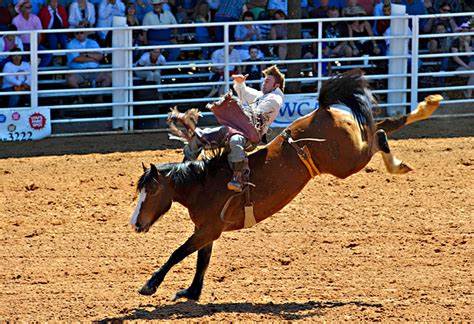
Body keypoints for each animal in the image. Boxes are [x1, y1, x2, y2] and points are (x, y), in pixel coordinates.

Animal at [128, 71, 442, 302]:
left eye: (152, 191)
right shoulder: (208, 230)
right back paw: (427, 108)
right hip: (352, 147)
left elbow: (179, 253)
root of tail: (324, 110)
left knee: (379, 135)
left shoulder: (207, 229)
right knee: (383, 125)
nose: (135, 223)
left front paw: (149, 286)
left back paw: (401, 156)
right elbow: (201, 260)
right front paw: (191, 292)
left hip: (348, 162)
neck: (202, 184)